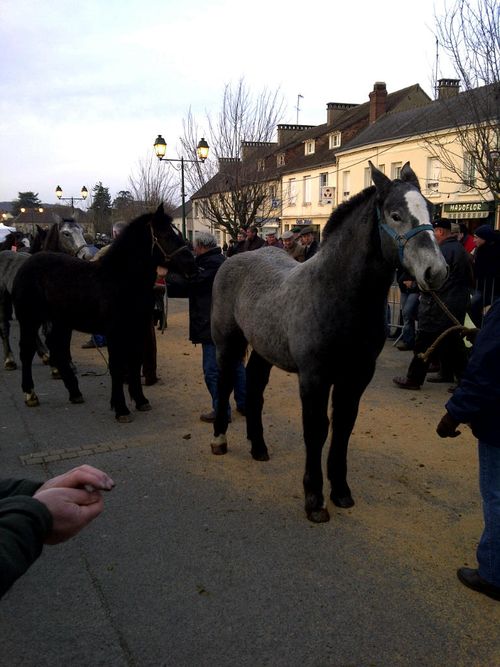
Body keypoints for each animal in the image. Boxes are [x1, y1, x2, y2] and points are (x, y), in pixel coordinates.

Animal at [0, 222, 92, 374]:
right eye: (66, 234)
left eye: (82, 231)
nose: (87, 256)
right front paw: (57, 368)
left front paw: (68, 364)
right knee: (4, 326)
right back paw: (9, 360)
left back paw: (44, 355)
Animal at [209, 162, 448, 520]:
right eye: (395, 215)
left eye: (431, 211)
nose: (436, 271)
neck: (338, 294)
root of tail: (234, 258)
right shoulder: (315, 377)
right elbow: (317, 429)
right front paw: (314, 499)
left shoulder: (356, 376)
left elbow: (343, 426)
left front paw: (341, 491)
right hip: (228, 344)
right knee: (224, 384)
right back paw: (220, 440)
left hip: (263, 350)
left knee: (254, 390)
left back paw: (259, 447)